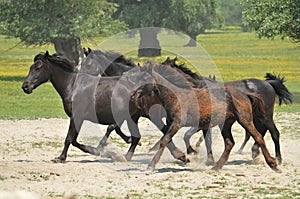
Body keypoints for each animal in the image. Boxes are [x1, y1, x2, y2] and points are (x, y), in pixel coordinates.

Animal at [132, 63, 280, 172]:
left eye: (144, 79)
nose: (133, 95)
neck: (176, 96)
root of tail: (245, 94)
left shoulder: (177, 124)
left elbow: (165, 140)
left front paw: (151, 165)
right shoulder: (172, 124)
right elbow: (167, 140)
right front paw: (186, 157)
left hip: (245, 119)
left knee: (259, 136)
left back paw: (274, 163)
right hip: (226, 124)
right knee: (230, 143)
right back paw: (216, 167)